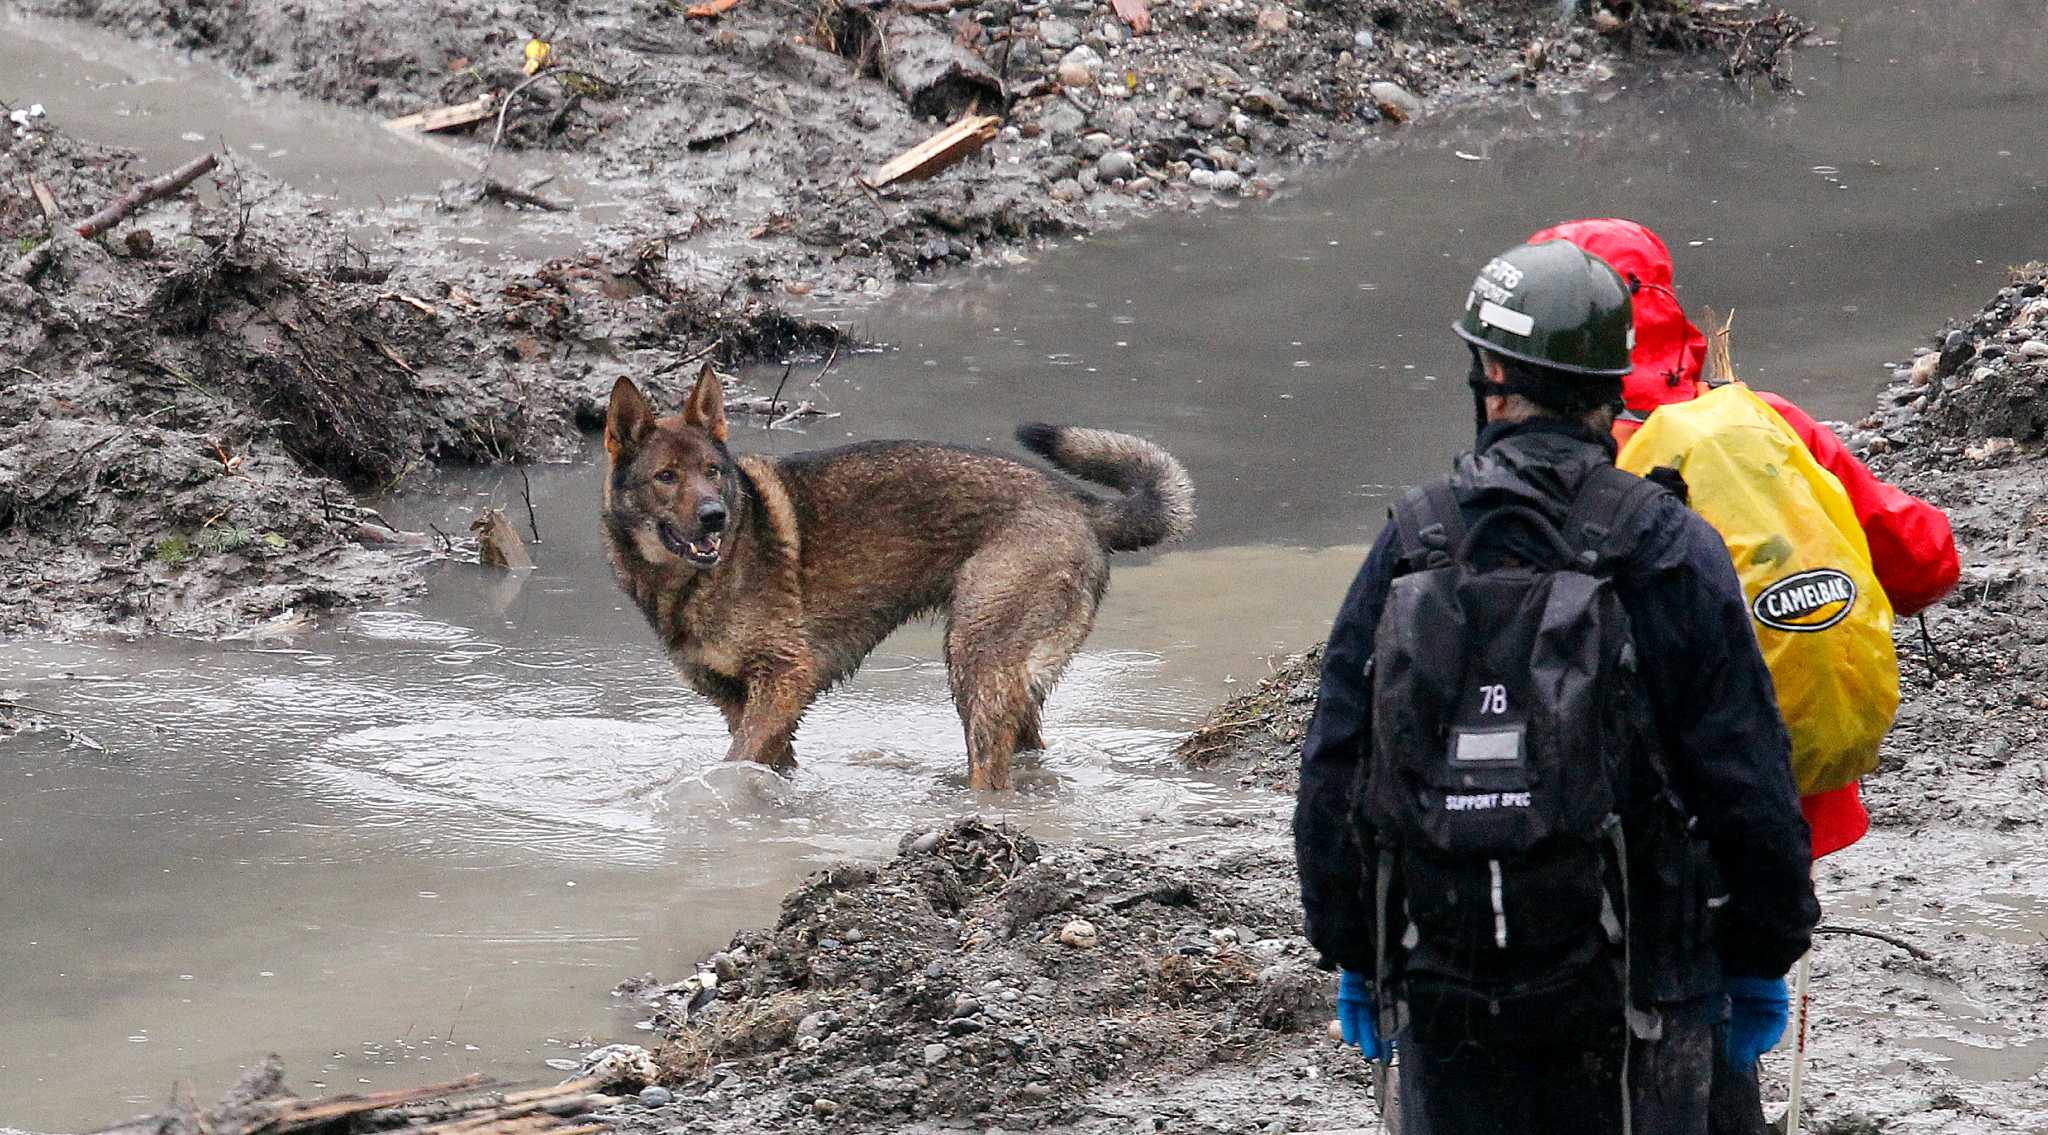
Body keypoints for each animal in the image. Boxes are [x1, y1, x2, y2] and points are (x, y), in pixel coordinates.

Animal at [598, 364, 1196, 786]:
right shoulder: (741, 702)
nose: (714, 516)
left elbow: (733, 762)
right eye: (666, 477)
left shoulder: (787, 678)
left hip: (975, 663)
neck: (689, 583)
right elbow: (760, 765)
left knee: (991, 773)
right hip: (1007, 680)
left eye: (712, 472)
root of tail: (1080, 505)